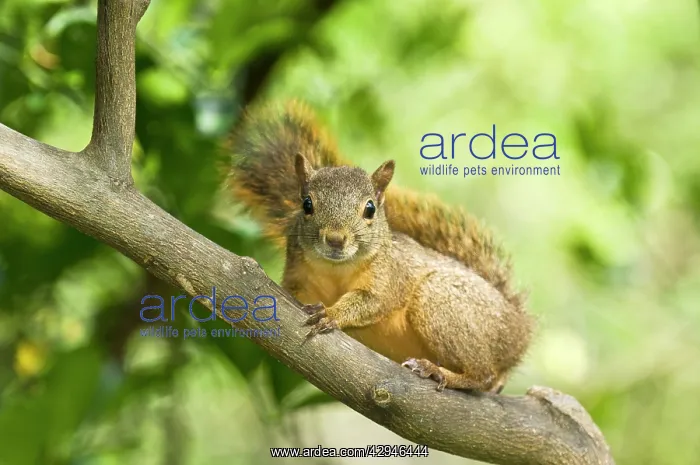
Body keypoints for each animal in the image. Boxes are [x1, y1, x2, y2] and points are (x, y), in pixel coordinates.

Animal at [226, 100, 534, 392]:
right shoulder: (297, 274)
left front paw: (332, 313)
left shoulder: (391, 274)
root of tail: (519, 331)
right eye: (307, 204)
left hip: (441, 301)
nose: (335, 239)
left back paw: (440, 372)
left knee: (483, 374)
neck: (336, 267)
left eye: (370, 209)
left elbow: (373, 300)